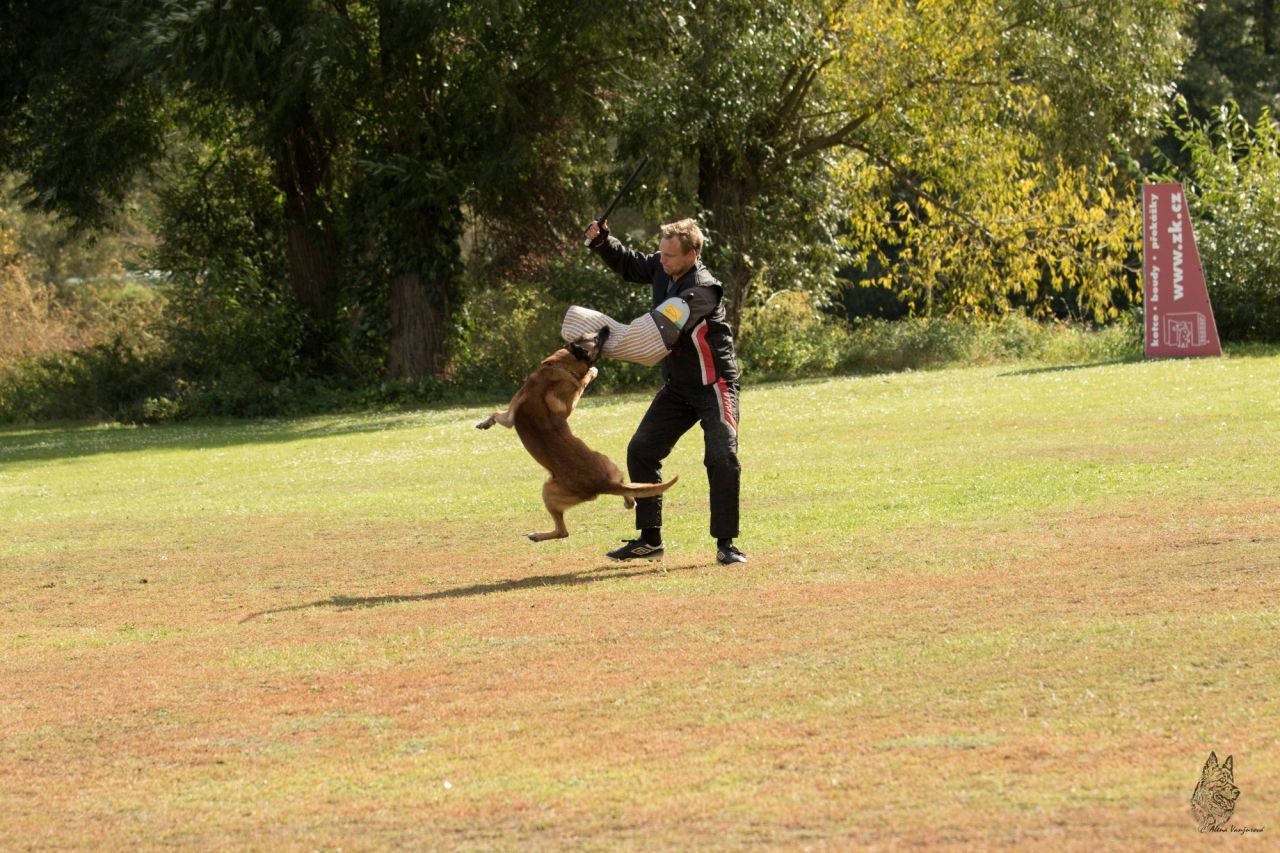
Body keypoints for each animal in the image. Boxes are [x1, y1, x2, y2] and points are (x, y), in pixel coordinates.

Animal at [476, 327, 678, 541]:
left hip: (547, 491)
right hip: (610, 466)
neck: (559, 366)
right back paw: (628, 501)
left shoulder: (510, 416)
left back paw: (537, 535)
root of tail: (603, 484)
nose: (607, 327)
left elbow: (496, 413)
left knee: (563, 531)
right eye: (595, 337)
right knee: (628, 492)